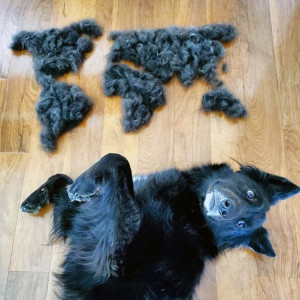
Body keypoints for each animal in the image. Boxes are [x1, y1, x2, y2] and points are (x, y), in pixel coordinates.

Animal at [21, 154, 300, 298]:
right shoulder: (80, 221)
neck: (193, 214)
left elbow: (117, 161)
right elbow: (62, 179)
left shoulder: (109, 258)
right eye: (251, 194)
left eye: (241, 224)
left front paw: (82, 184)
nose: (225, 209)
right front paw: (36, 198)